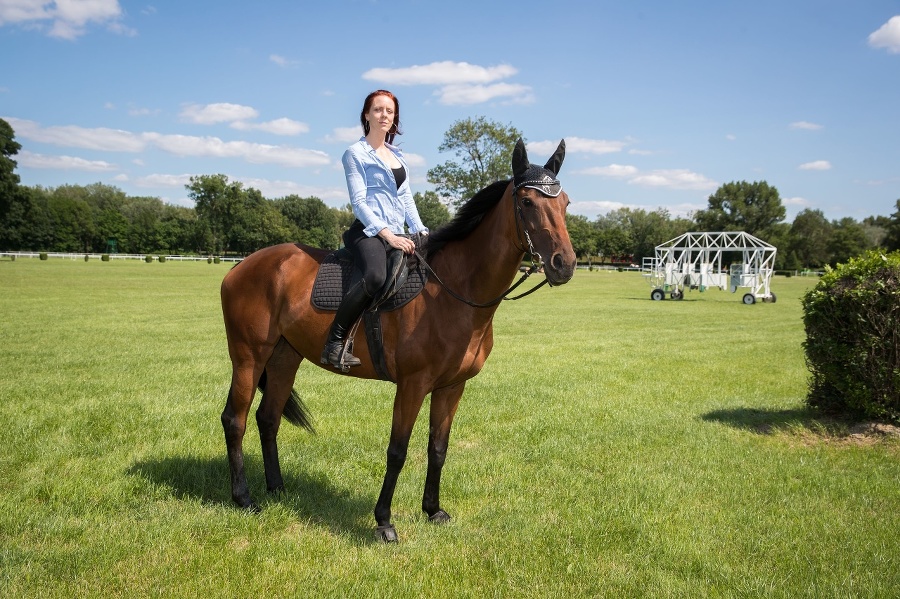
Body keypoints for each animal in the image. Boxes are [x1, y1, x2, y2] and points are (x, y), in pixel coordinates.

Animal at [218, 138, 576, 540]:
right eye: (528, 202)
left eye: (565, 203)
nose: (565, 263)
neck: (451, 291)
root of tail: (243, 265)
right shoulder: (412, 385)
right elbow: (397, 451)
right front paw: (384, 521)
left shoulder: (452, 386)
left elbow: (438, 448)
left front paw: (433, 510)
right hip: (249, 357)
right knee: (235, 419)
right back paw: (244, 498)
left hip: (284, 357)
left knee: (268, 418)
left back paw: (278, 489)